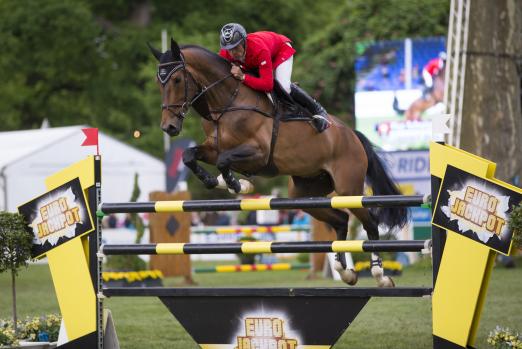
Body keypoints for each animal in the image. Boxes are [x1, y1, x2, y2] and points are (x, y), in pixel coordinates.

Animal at [147, 39, 406, 286]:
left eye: (177, 80)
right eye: (159, 82)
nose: (168, 127)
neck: (228, 101)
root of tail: (352, 134)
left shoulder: (259, 155)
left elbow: (223, 161)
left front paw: (238, 185)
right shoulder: (212, 147)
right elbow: (189, 156)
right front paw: (217, 181)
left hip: (348, 189)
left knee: (370, 223)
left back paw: (380, 275)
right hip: (305, 193)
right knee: (341, 220)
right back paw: (345, 272)